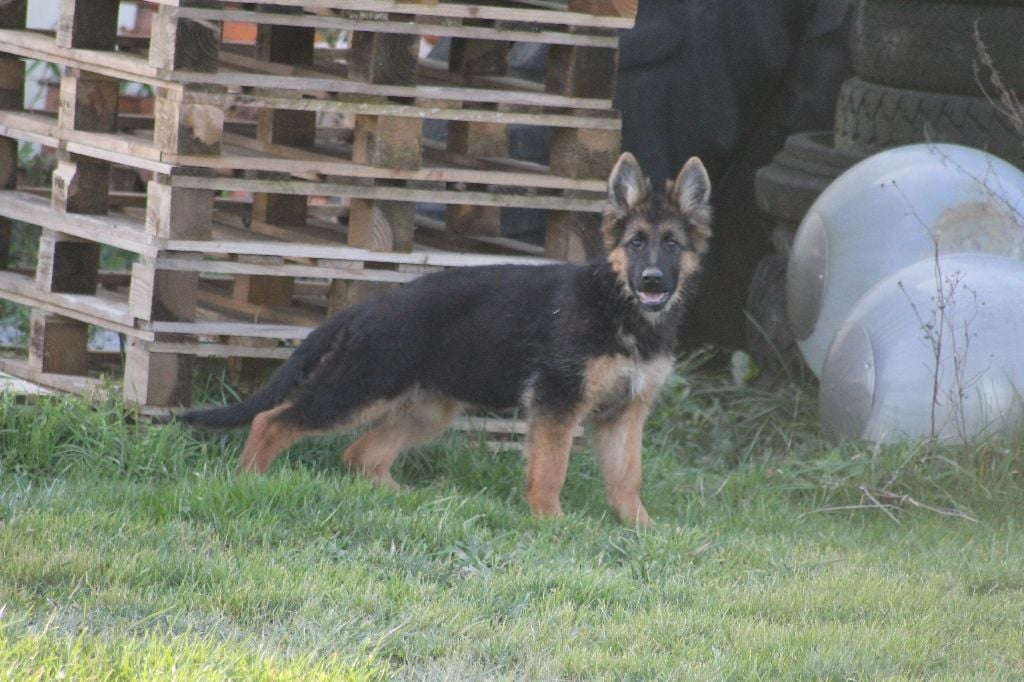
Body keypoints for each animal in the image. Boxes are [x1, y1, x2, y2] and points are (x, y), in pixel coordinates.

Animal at [182, 152, 712, 524]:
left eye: (671, 245)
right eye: (636, 243)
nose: (652, 282)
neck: (619, 306)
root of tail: (369, 307)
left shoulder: (626, 413)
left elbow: (626, 477)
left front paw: (642, 529)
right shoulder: (557, 403)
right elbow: (551, 468)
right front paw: (549, 520)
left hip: (427, 409)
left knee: (360, 455)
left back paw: (404, 498)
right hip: (359, 388)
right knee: (271, 421)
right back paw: (250, 481)